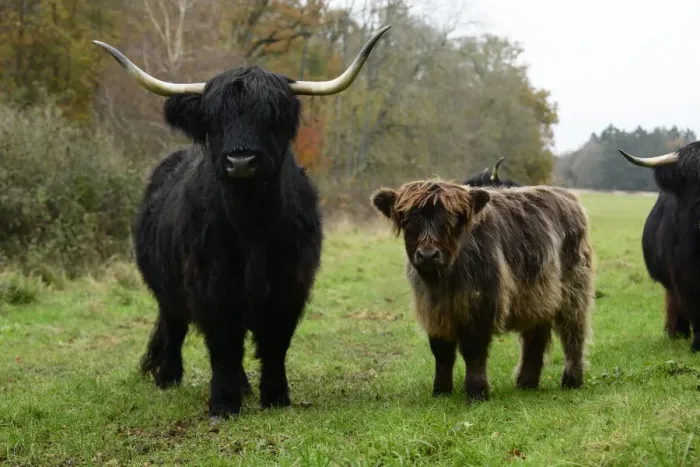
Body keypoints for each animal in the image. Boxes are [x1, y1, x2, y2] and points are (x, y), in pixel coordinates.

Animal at [92, 25, 391, 419]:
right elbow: (223, 347)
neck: (252, 227)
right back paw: (168, 378)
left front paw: (276, 397)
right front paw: (223, 404)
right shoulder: (211, 287)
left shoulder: (290, 285)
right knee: (173, 324)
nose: (241, 162)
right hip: (164, 285)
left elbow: (275, 344)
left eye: (272, 118)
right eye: (214, 119)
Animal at [370, 180, 594, 402]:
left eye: (451, 220)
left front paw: (477, 391)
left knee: (573, 334)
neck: (445, 283)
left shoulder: (482, 304)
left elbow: (474, 349)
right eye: (408, 221)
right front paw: (441, 391)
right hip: (538, 297)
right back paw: (526, 382)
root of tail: (567, 196)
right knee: (535, 338)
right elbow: (441, 351)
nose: (427, 255)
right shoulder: (435, 312)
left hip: (574, 292)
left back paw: (572, 380)